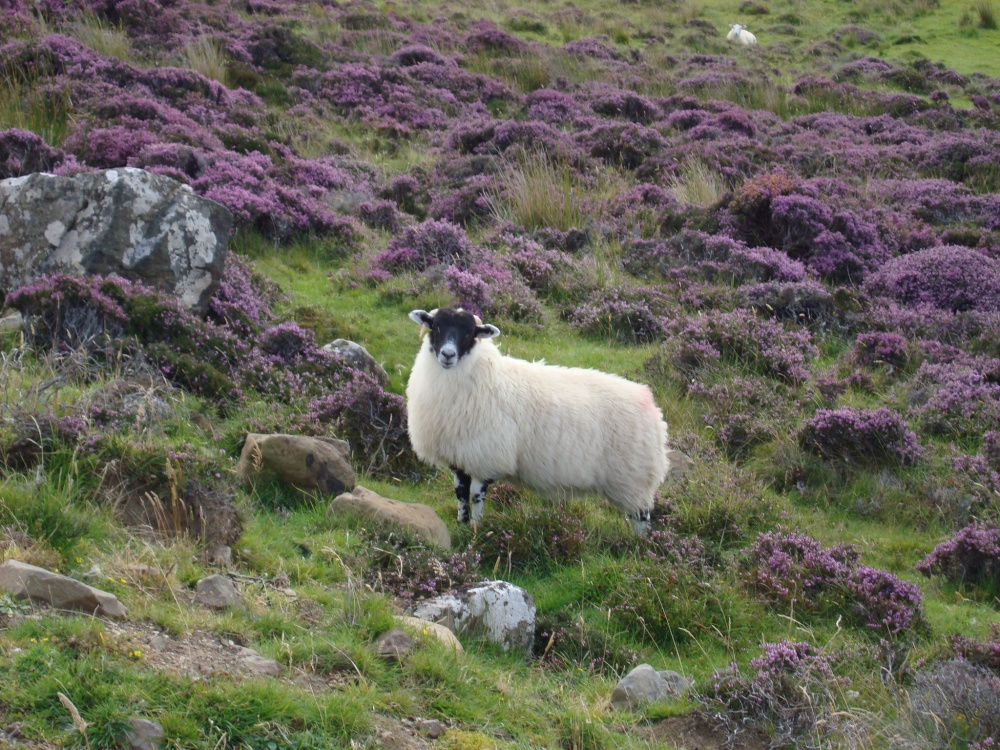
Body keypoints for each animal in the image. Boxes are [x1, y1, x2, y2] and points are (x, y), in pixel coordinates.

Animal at [406, 308, 672, 536]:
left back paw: (638, 545)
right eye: (436, 326)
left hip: (634, 478)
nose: (448, 355)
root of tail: (649, 402)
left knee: (641, 516)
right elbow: (461, 494)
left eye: (470, 333)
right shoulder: (460, 455)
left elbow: (475, 496)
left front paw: (475, 529)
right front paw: (461, 525)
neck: (481, 375)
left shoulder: (486, 456)